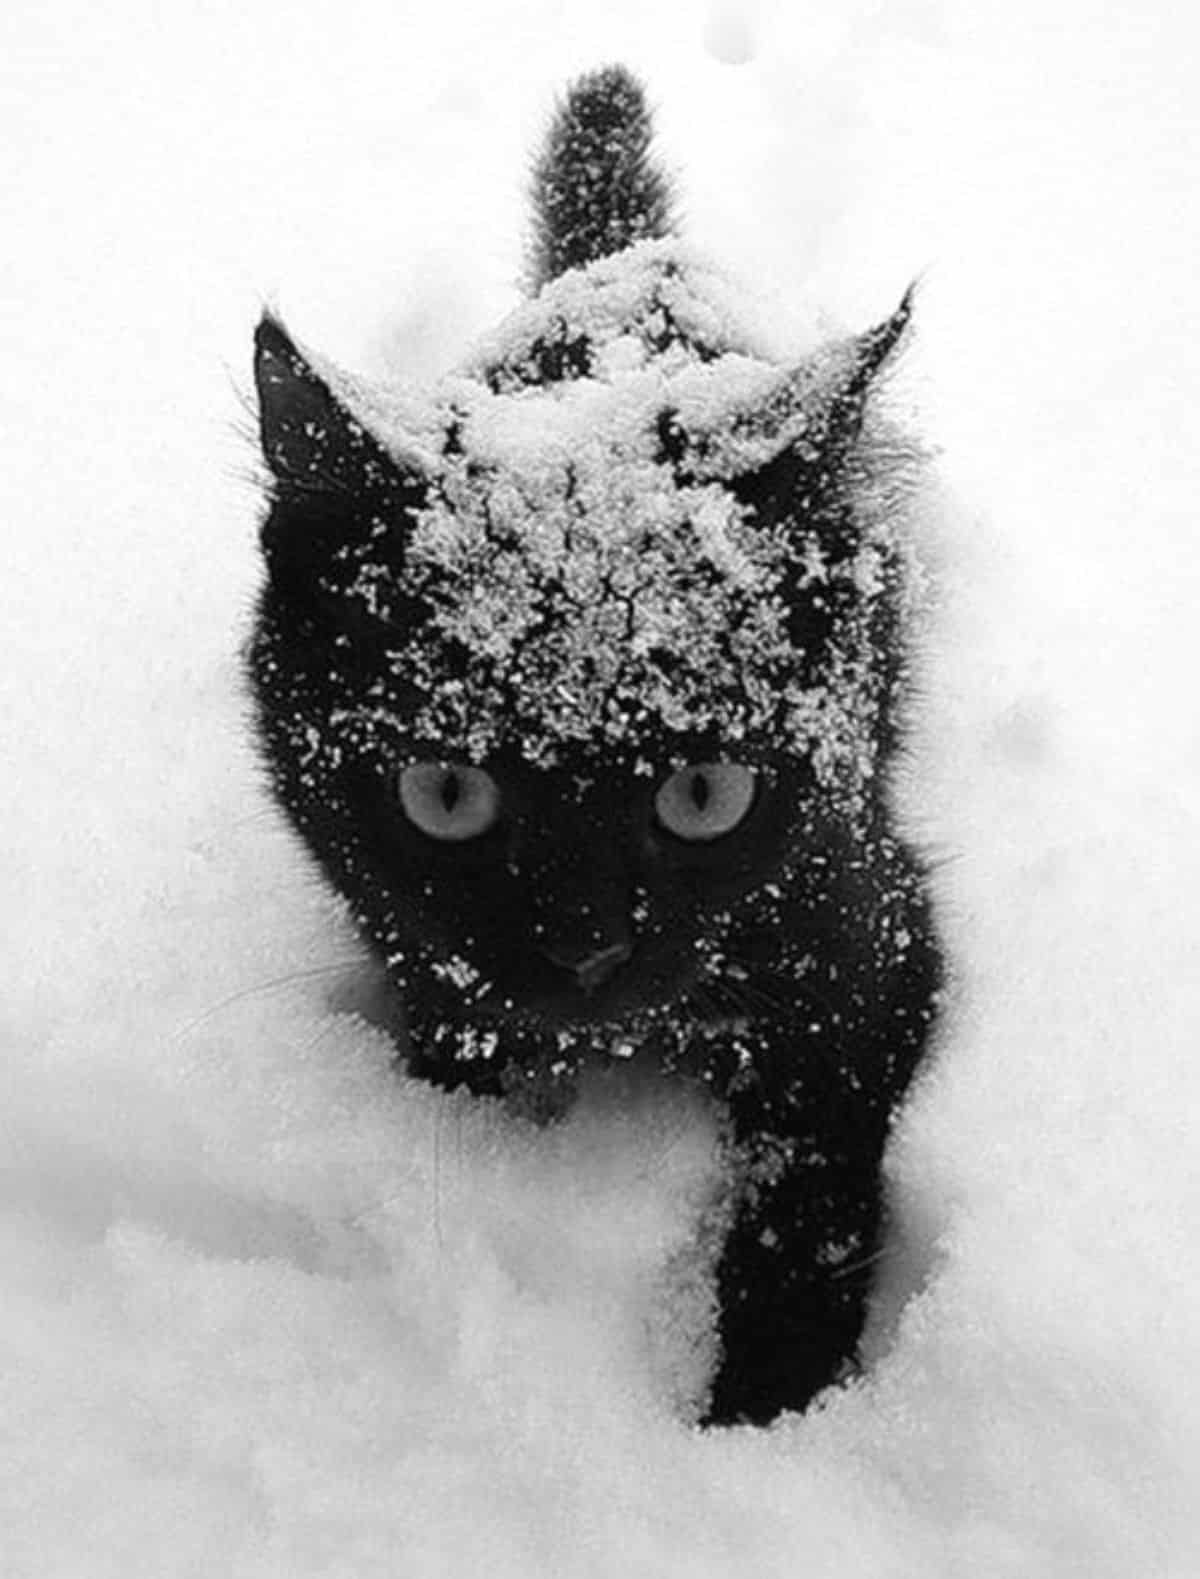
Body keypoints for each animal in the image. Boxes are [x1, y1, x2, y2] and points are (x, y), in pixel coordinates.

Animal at [247, 61, 941, 1427]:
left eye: (706, 790)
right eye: (445, 790)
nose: (586, 947)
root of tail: (628, 265)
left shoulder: (876, 950)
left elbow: (803, 1196)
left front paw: (762, 1414)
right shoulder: (415, 956)